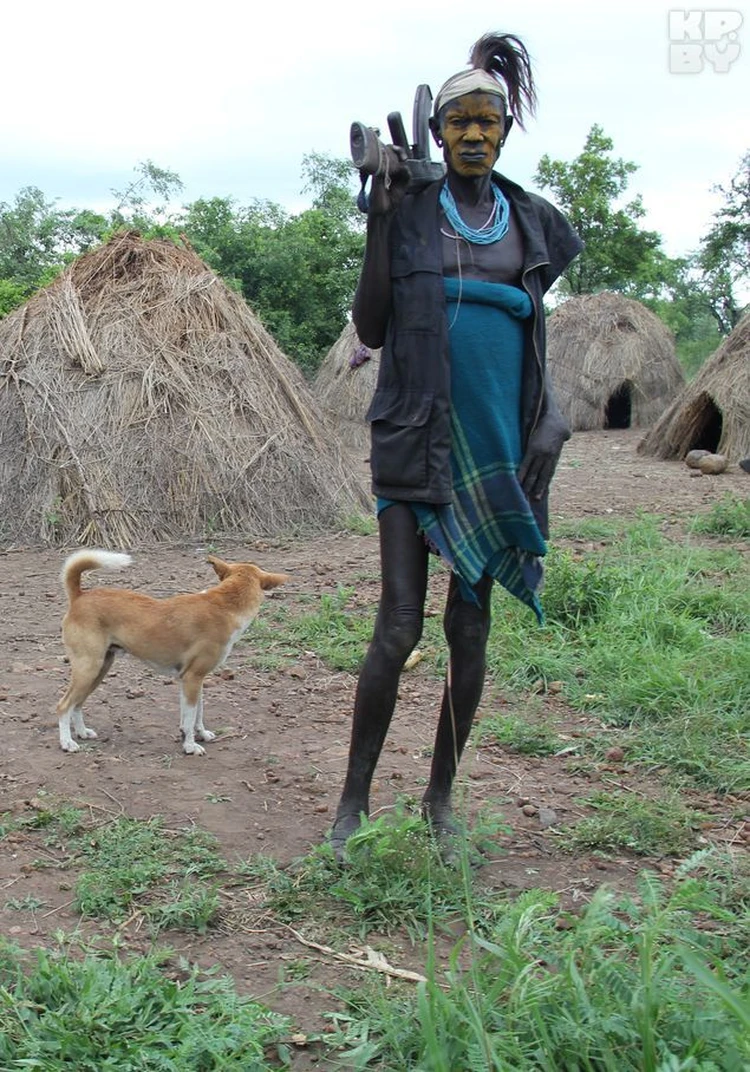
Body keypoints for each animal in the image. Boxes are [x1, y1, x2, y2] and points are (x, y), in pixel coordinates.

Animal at [56, 553, 287, 754]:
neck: (224, 605)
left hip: (99, 669)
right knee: (64, 706)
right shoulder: (192, 678)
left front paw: (201, 734)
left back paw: (82, 732)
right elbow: (190, 717)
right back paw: (67, 742)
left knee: (77, 704)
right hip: (88, 669)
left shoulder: (196, 679)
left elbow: (198, 713)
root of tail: (80, 595)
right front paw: (190, 745)